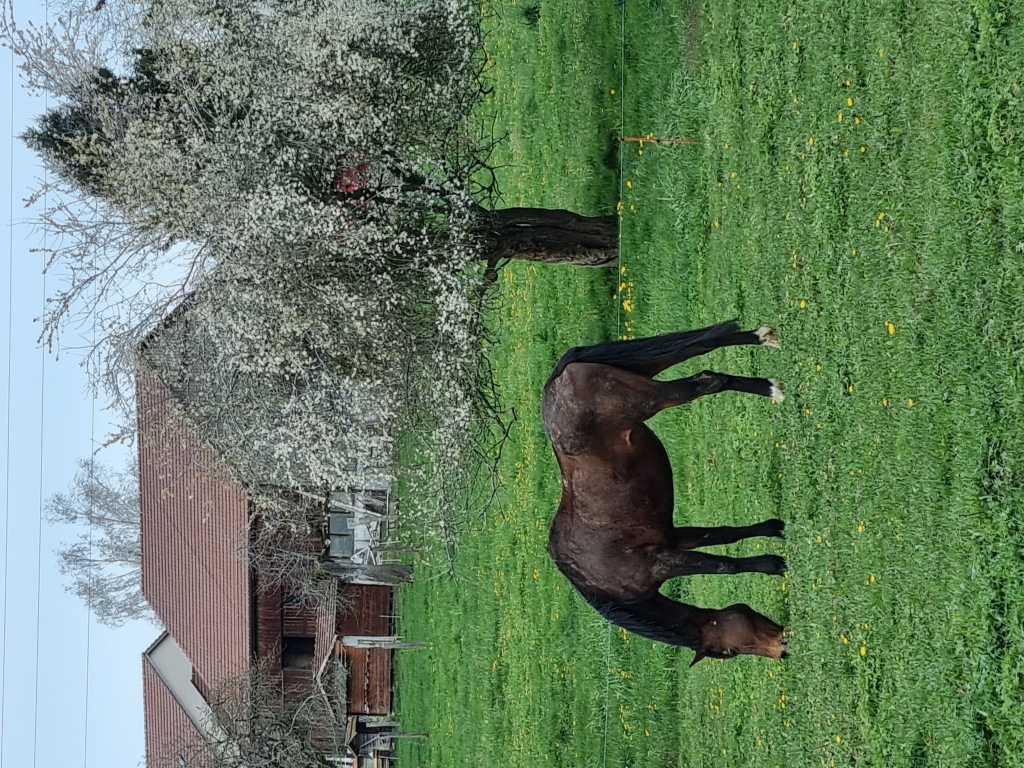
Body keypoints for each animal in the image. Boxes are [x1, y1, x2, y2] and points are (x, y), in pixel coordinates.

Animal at [544, 321, 790, 663]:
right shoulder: (674, 541)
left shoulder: (664, 559)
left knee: (706, 380)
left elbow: (723, 565)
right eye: (729, 651)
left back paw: (771, 386)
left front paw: (775, 564)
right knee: (703, 349)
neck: (603, 583)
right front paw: (774, 538)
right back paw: (763, 346)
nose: (783, 648)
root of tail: (554, 382)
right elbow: (725, 539)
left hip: (651, 396)